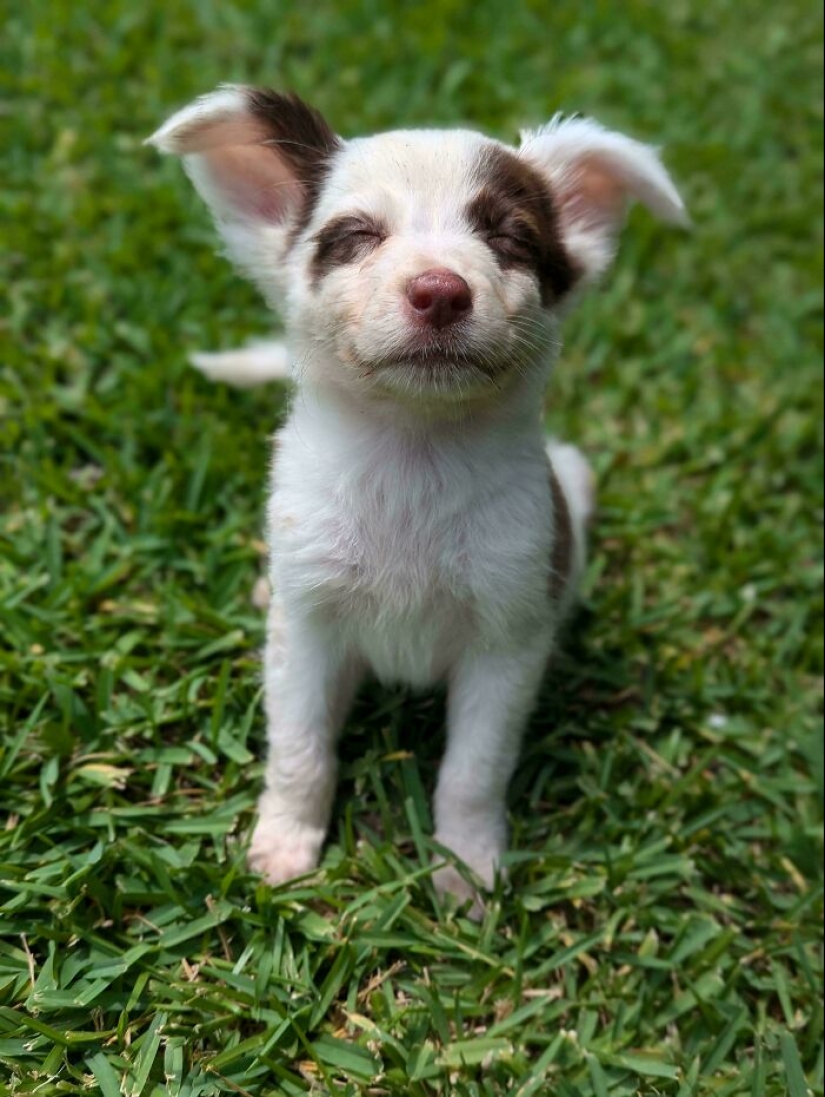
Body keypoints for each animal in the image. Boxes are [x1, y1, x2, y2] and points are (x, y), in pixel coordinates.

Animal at [147, 85, 684, 912]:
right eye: (356, 237)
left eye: (509, 239)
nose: (439, 291)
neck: (413, 459)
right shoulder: (308, 631)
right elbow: (299, 747)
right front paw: (285, 842)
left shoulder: (505, 642)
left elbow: (471, 772)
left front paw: (465, 867)